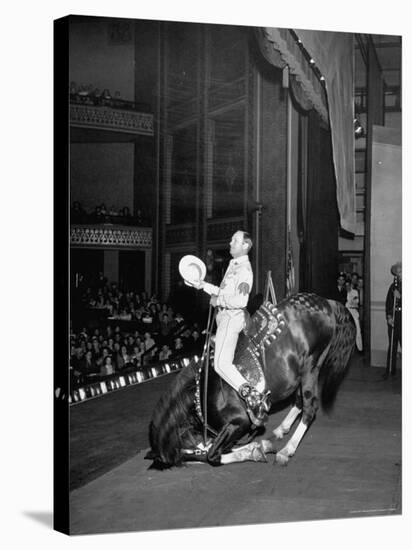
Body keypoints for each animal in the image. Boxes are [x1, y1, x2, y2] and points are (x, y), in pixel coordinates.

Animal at [146, 294, 356, 470]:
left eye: (171, 461)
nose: (187, 459)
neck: (202, 393)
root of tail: (327, 303)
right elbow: (217, 450)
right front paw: (261, 446)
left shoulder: (239, 422)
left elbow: (212, 455)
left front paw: (257, 450)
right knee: (299, 401)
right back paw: (280, 430)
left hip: (311, 366)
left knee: (310, 407)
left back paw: (286, 451)